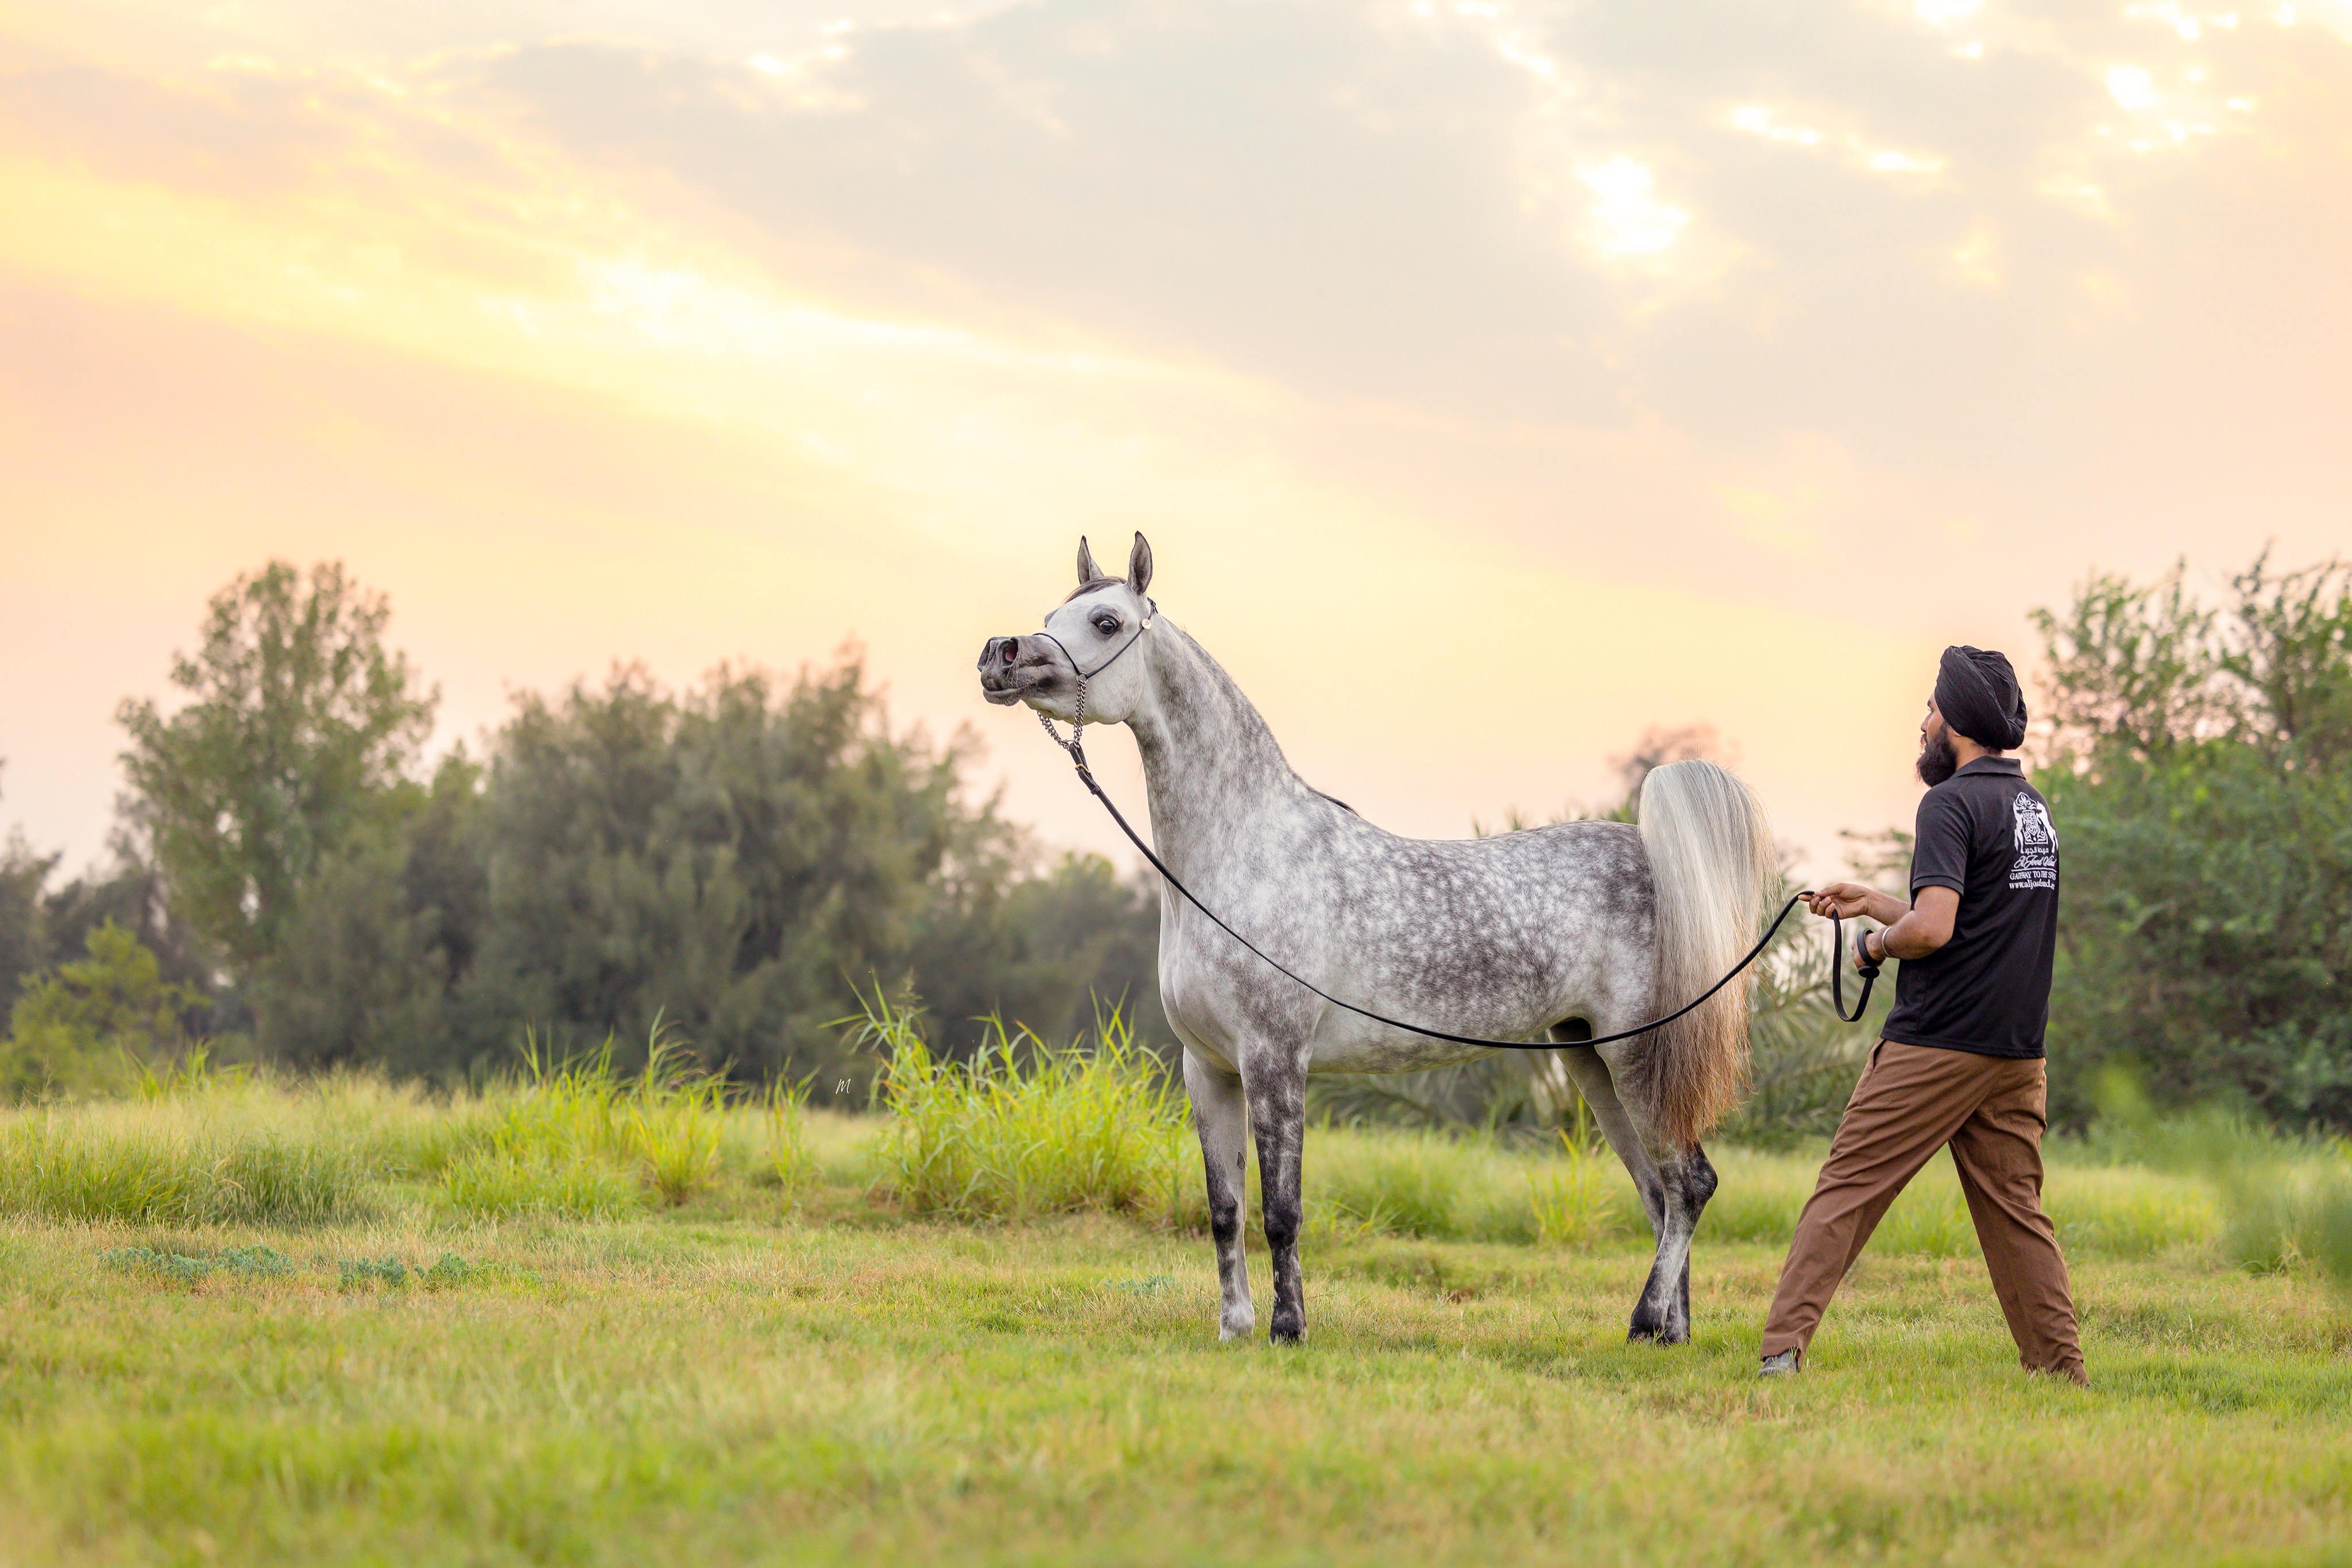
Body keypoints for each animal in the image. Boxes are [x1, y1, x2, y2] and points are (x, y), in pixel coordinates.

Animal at [977, 532, 1776, 1345]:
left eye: (1105, 622)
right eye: (1053, 614)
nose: (1000, 657)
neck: (1242, 855)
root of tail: (1655, 857)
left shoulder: (1274, 1060)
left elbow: (1282, 1211)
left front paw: (1288, 1329)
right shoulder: (1207, 1069)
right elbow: (1225, 1210)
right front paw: (1234, 1328)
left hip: (1636, 1055)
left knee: (1690, 1183)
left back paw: (1646, 1323)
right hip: (1589, 1057)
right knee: (1660, 1191)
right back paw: (1670, 1333)